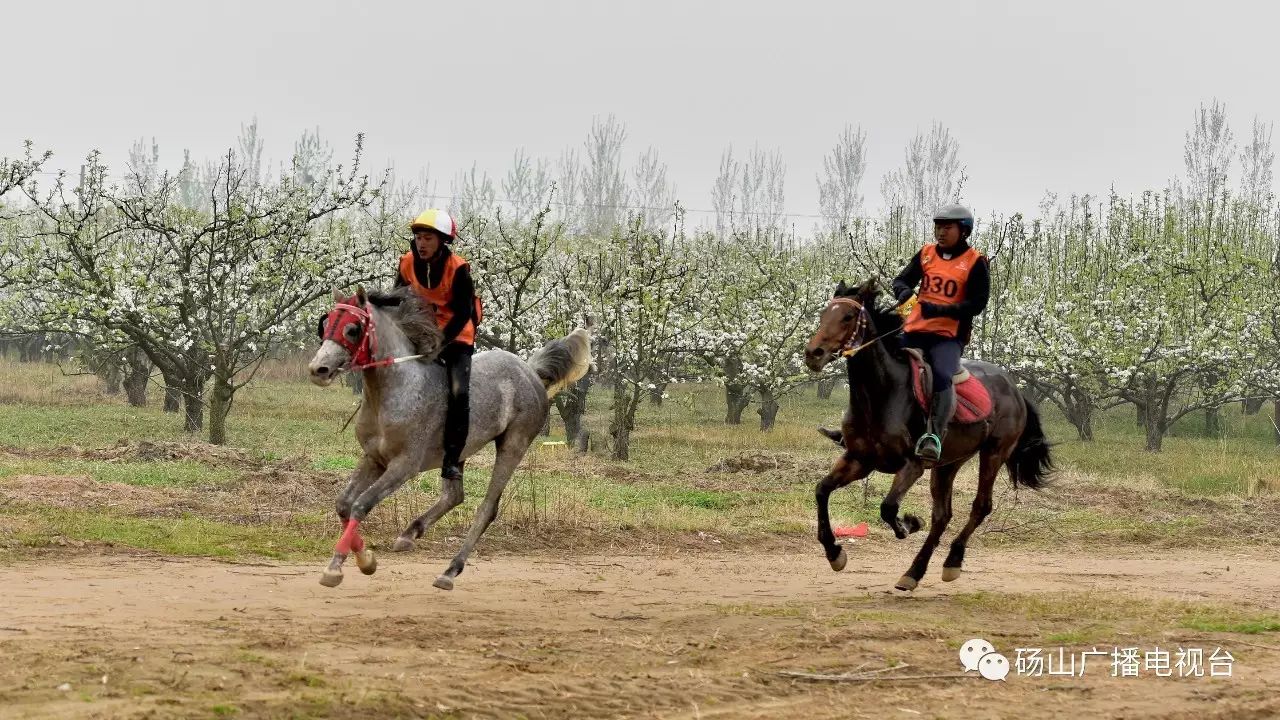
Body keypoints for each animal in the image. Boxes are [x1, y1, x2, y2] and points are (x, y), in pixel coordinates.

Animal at [307, 285, 591, 589]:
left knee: (487, 508)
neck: (397, 390)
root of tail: (531, 372)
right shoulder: (374, 459)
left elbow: (361, 505)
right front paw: (364, 560)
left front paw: (336, 568)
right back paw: (409, 534)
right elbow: (344, 505)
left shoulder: (403, 466)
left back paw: (450, 570)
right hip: (457, 453)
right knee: (455, 495)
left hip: (513, 445)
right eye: (327, 323)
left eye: (352, 329)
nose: (318, 369)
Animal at [803, 278, 1054, 586]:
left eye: (848, 317)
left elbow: (888, 507)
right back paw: (914, 572)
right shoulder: (859, 460)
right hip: (948, 464)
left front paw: (908, 524)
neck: (881, 394)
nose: (813, 354)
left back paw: (952, 560)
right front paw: (834, 553)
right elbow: (822, 490)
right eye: (823, 314)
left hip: (994, 453)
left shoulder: (912, 464)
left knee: (980, 506)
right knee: (942, 516)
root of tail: (1015, 388)